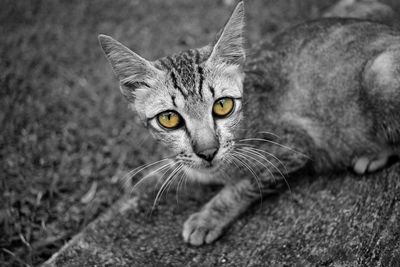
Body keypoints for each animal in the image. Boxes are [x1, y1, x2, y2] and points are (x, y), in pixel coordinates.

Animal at [98, 1, 398, 246]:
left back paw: (373, 153)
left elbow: (244, 184)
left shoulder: (290, 147)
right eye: (169, 118)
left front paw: (207, 217)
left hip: (379, 74)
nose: (207, 152)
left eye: (223, 105)